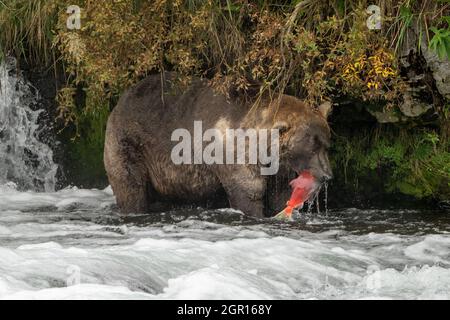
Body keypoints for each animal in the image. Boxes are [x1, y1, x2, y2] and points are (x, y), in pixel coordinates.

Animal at [104, 72, 330, 218]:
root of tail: (119, 101)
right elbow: (248, 193)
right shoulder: (235, 153)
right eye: (312, 145)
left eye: (326, 143)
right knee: (131, 186)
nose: (328, 175)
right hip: (130, 143)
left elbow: (279, 193)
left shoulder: (278, 167)